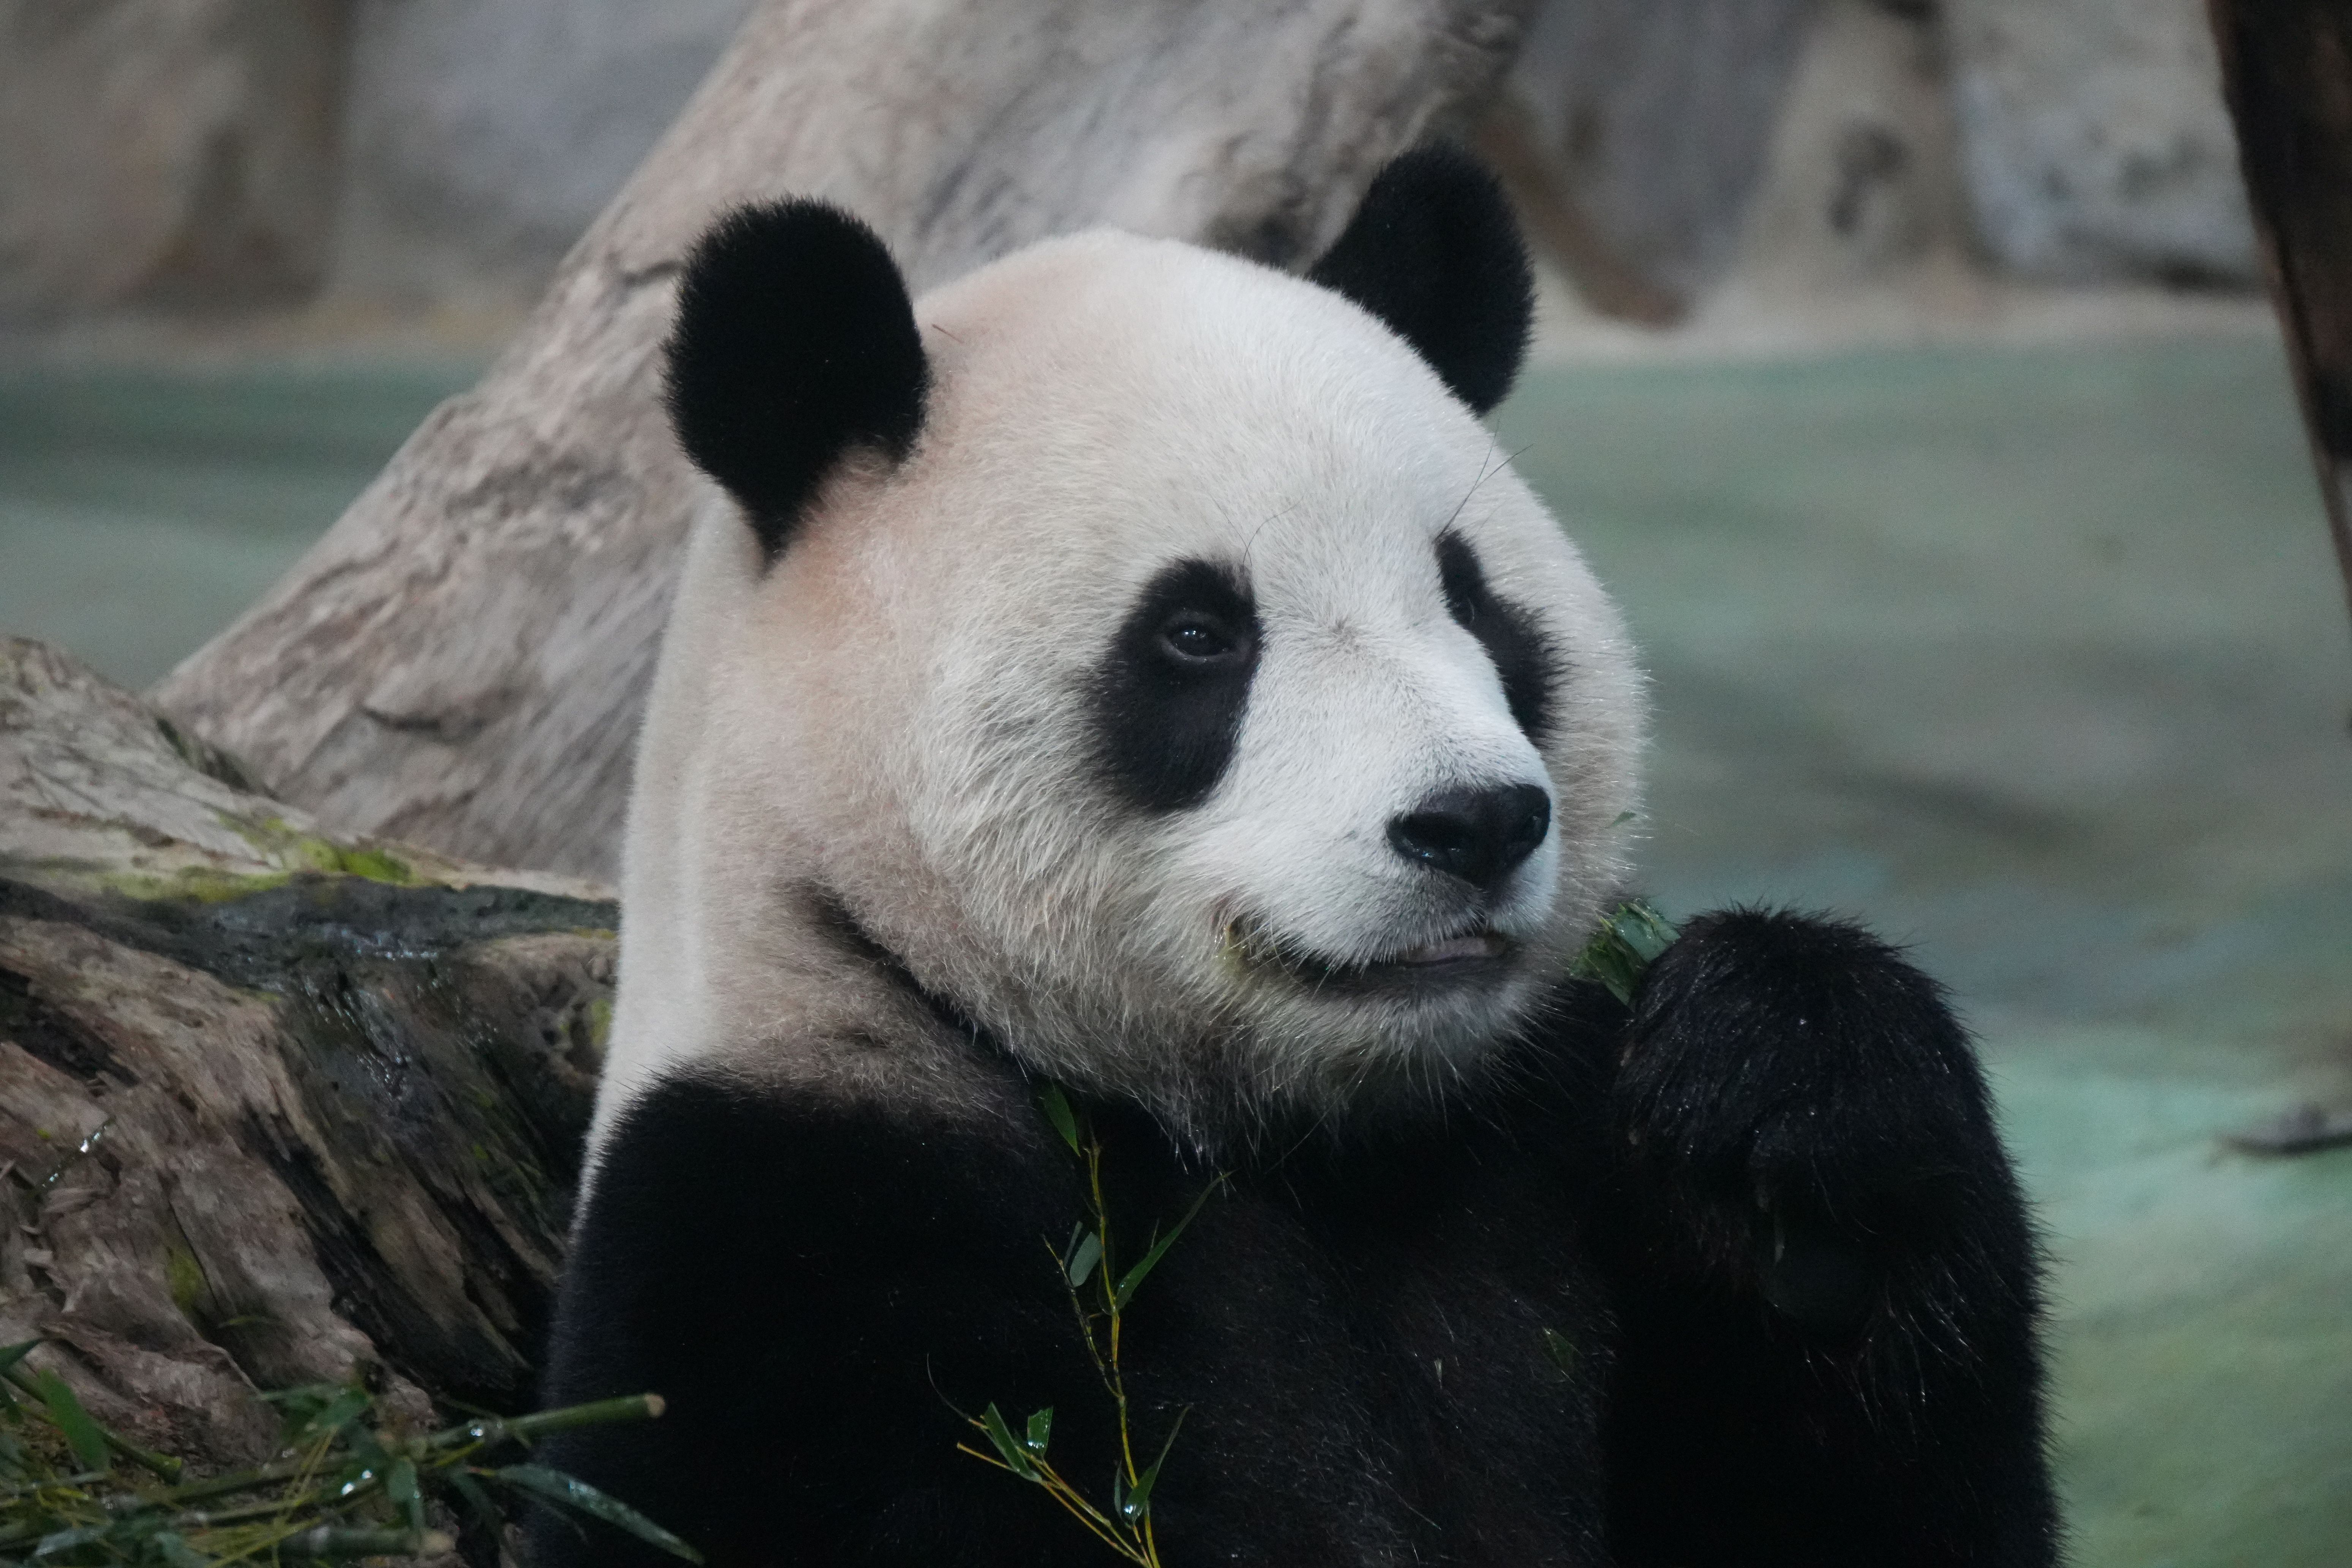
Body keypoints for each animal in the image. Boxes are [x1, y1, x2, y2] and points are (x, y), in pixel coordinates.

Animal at [534, 147, 2059, 1568]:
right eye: (1198, 632)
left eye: (1470, 600)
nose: (1474, 821)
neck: (1307, 1144)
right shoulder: (789, 1222)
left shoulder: (1541, 1144)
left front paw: (1783, 1114)